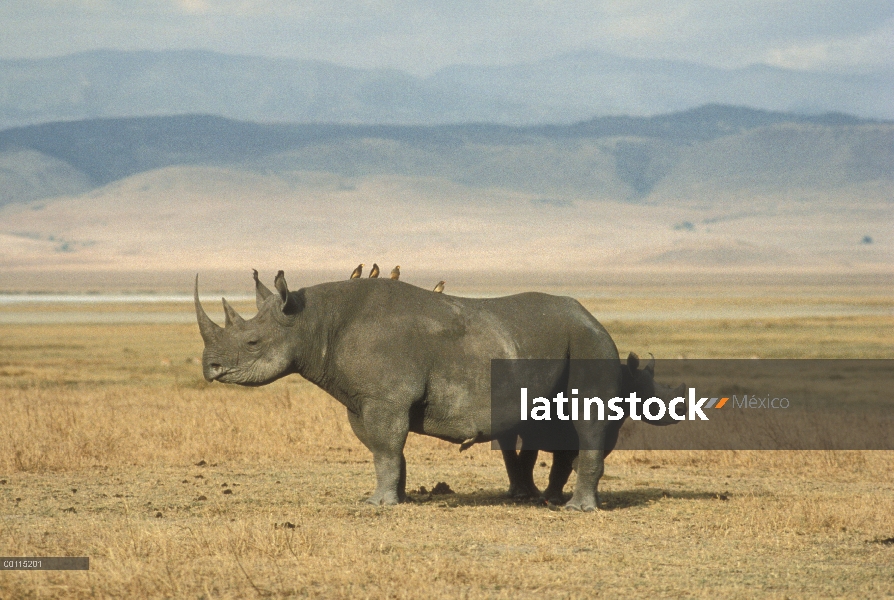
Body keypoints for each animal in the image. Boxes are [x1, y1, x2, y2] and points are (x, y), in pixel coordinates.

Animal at [194, 272, 632, 510]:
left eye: (252, 342)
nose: (209, 368)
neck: (312, 323)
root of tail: (592, 316)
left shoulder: (385, 398)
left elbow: (386, 447)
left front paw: (378, 504)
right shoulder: (362, 399)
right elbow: (383, 450)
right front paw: (395, 498)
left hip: (589, 342)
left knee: (585, 420)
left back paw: (576, 509)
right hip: (563, 339)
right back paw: (552, 501)